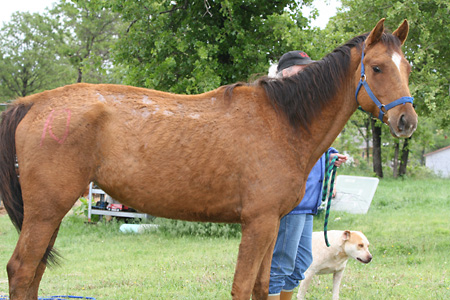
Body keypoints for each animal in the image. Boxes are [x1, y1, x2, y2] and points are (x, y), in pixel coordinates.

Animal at [0, 19, 416, 300]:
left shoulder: (272, 224)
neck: (283, 121)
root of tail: (31, 102)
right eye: (377, 67)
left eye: (407, 67)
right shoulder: (258, 224)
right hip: (46, 211)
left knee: (34, 273)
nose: (406, 121)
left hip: (50, 213)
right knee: (21, 271)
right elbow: (242, 287)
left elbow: (262, 287)